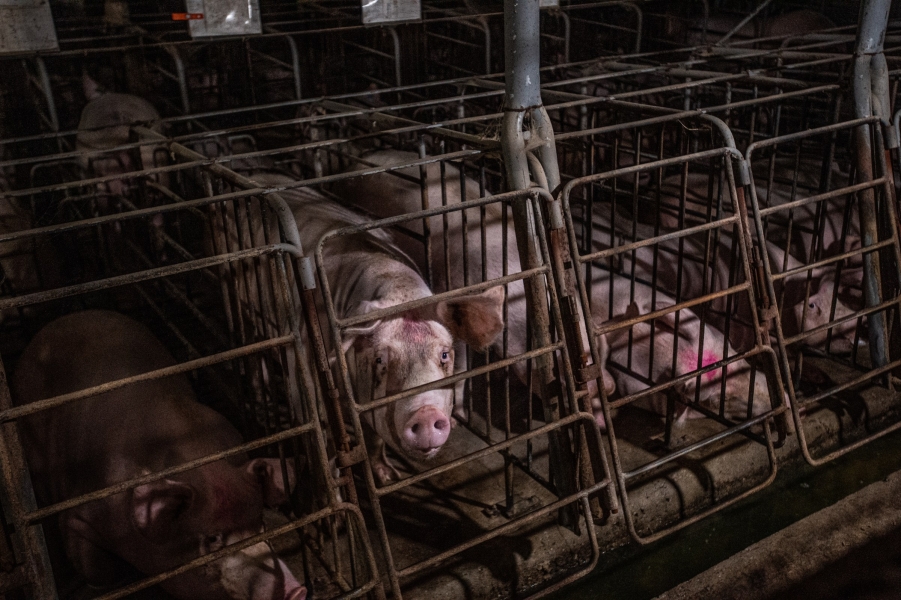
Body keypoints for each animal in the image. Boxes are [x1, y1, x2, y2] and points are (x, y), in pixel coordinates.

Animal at [13, 310, 306, 600]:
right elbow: (95, 568)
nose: (296, 590)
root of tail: (63, 320)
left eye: (260, 523)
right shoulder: (78, 515)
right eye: (212, 539)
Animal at [232, 173, 502, 482]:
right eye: (380, 359)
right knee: (251, 352)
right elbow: (320, 434)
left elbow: (374, 439)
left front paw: (389, 476)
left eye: (444, 354)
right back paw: (260, 401)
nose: (426, 414)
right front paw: (334, 478)